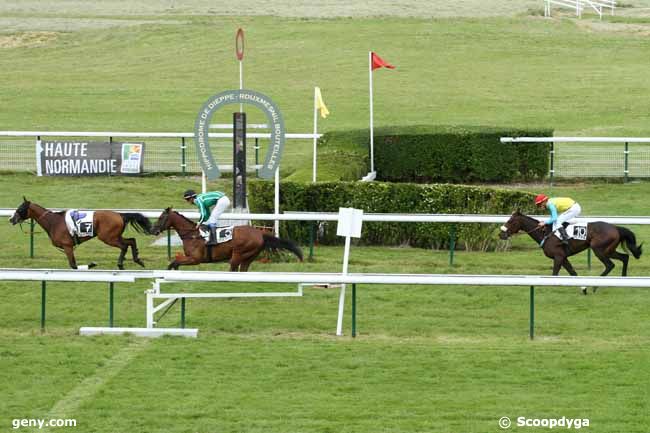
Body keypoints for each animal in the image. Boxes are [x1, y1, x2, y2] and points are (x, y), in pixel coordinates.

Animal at [9, 197, 151, 270]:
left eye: (20, 209)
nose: (11, 219)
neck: (53, 222)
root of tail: (120, 215)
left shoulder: (67, 246)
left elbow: (73, 265)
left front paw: (90, 264)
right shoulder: (68, 247)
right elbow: (74, 265)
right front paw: (91, 264)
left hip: (108, 237)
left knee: (124, 246)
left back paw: (121, 265)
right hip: (115, 236)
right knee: (131, 240)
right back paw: (138, 260)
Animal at [151, 207, 302, 270]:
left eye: (161, 217)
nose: (153, 230)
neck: (192, 235)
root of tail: (260, 234)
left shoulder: (195, 259)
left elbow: (175, 262)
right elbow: (175, 262)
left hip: (238, 254)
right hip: (249, 257)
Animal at [498, 209, 640, 280]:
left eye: (510, 221)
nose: (501, 234)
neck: (546, 233)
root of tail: (615, 228)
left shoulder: (558, 257)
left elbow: (555, 274)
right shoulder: (563, 257)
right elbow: (573, 273)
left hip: (599, 250)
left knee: (610, 265)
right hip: (609, 250)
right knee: (625, 257)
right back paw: (623, 278)